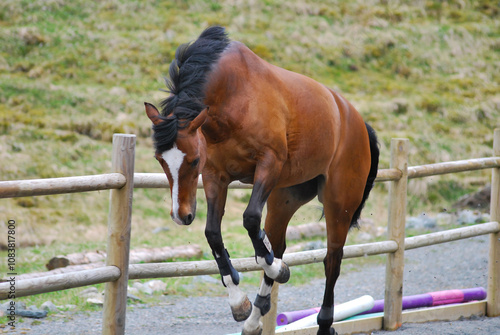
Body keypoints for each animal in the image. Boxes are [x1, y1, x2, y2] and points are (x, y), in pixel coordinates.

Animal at [145, 26, 378, 335]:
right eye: (160, 159)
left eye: (193, 160)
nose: (181, 215)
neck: (232, 97)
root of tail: (358, 122)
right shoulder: (216, 177)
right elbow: (214, 233)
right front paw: (238, 301)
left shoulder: (268, 165)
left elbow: (250, 219)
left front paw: (279, 269)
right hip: (284, 199)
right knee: (278, 245)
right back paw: (256, 317)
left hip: (338, 205)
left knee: (332, 259)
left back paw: (324, 321)